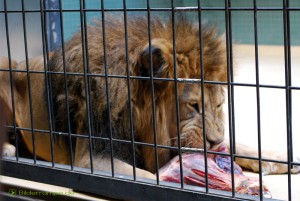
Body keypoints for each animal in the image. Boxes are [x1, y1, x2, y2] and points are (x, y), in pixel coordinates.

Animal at [0, 16, 298, 179]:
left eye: (218, 105)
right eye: (193, 106)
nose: (214, 142)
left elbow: (239, 145)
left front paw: (280, 157)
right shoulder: (91, 158)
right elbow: (147, 176)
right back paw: (8, 149)